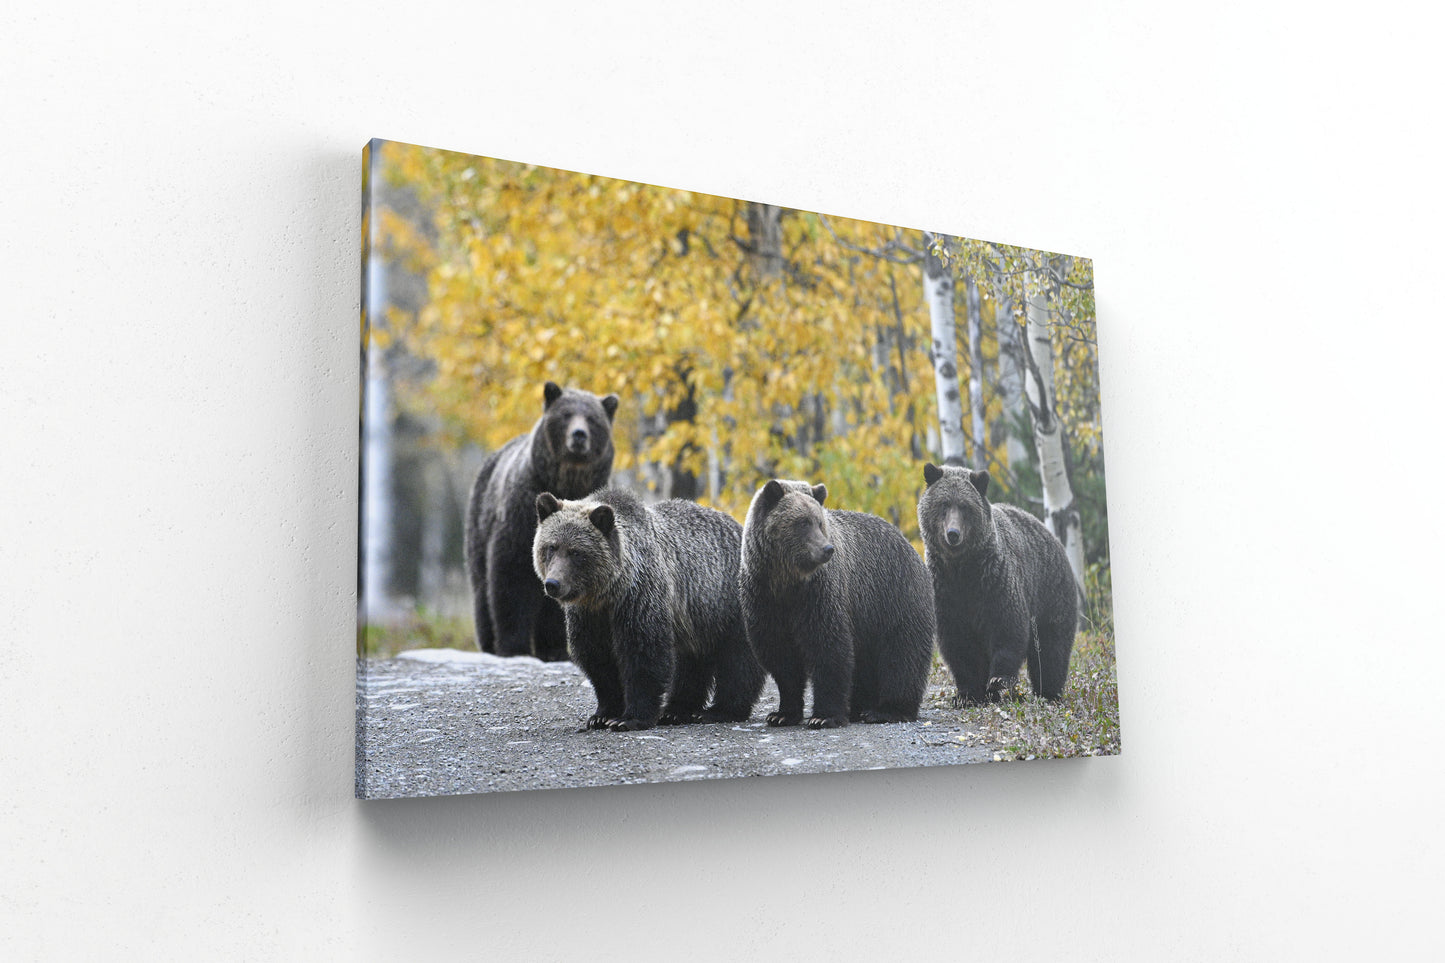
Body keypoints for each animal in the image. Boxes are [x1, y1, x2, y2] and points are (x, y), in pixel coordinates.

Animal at [465, 382, 618, 661]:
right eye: (566, 414)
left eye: (592, 419)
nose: (579, 435)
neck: (566, 482)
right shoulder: (520, 515)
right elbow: (511, 575)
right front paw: (514, 646)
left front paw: (556, 649)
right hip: (479, 522)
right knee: (481, 586)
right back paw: (489, 643)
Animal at [532, 487, 766, 731]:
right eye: (551, 547)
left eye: (576, 552)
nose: (553, 584)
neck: (607, 593)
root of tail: (741, 528)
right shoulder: (589, 616)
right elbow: (598, 660)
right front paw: (601, 715)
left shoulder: (639, 597)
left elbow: (644, 654)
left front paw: (628, 718)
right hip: (695, 619)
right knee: (690, 663)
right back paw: (676, 711)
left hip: (728, 602)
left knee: (738, 660)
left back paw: (720, 711)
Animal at [739, 479, 935, 729]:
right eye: (802, 522)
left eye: (820, 522)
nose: (827, 549)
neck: (787, 582)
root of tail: (910, 546)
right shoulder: (764, 600)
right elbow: (781, 658)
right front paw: (781, 714)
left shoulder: (819, 595)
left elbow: (829, 648)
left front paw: (823, 716)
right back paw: (859, 707)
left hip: (896, 599)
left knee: (901, 656)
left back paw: (886, 710)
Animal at [917, 462, 1079, 703]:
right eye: (944, 504)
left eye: (965, 507)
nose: (953, 534)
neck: (961, 568)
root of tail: (1051, 535)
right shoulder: (946, 592)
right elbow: (958, 644)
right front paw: (967, 693)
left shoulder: (994, 583)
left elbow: (1007, 628)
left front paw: (997, 682)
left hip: (1051, 593)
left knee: (1051, 649)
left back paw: (1048, 692)